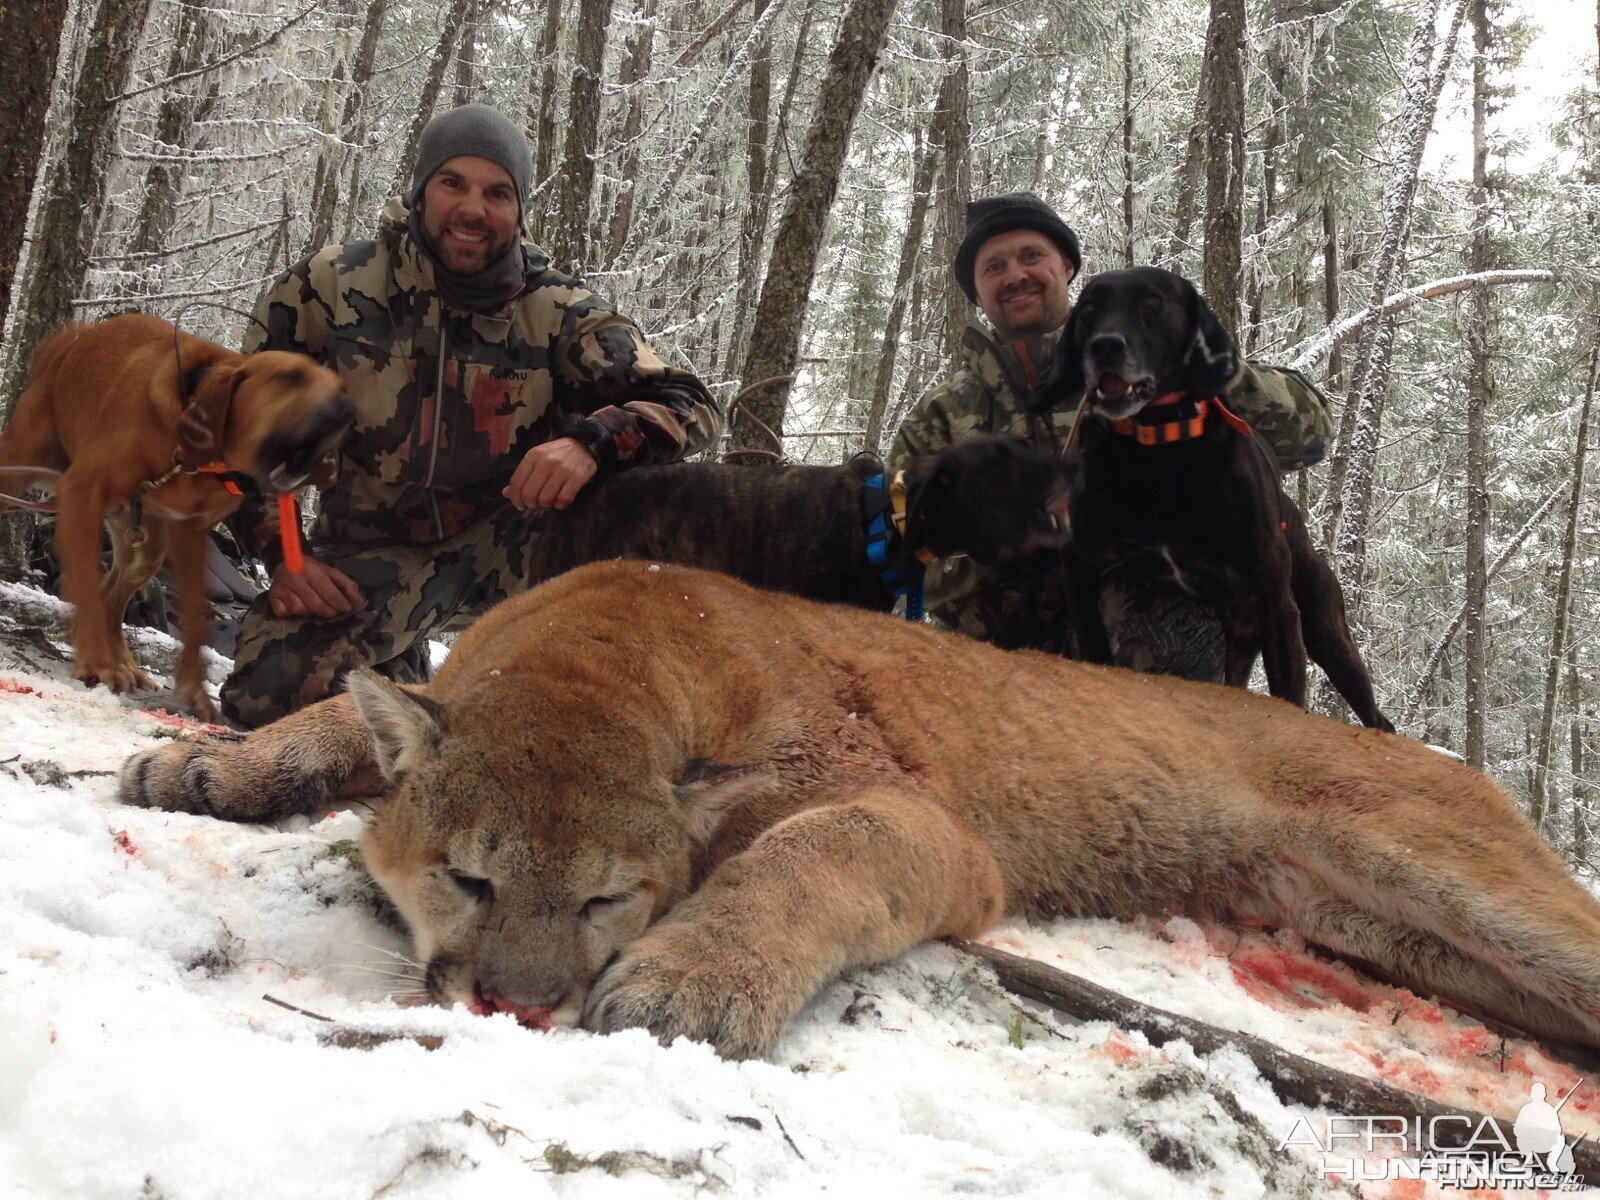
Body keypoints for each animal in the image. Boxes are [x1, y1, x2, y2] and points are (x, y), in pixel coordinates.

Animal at [1043, 265, 1395, 732]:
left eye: (1152, 303)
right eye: (1088, 309)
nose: (1104, 346)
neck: (1158, 451)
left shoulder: (1278, 604)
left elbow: (1289, 701)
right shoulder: (1079, 559)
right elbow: (1093, 643)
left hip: (1326, 632)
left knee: (1377, 716)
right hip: (1241, 644)